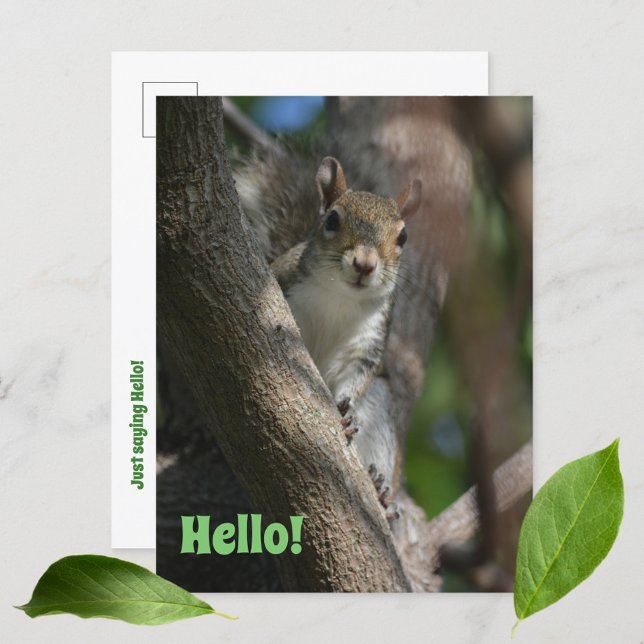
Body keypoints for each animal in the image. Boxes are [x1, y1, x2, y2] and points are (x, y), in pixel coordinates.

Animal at [235, 152, 422, 518]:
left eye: (404, 237)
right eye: (332, 219)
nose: (365, 264)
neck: (341, 297)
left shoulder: (369, 339)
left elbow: (358, 375)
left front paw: (347, 408)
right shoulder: (282, 280)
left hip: (381, 406)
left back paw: (380, 486)